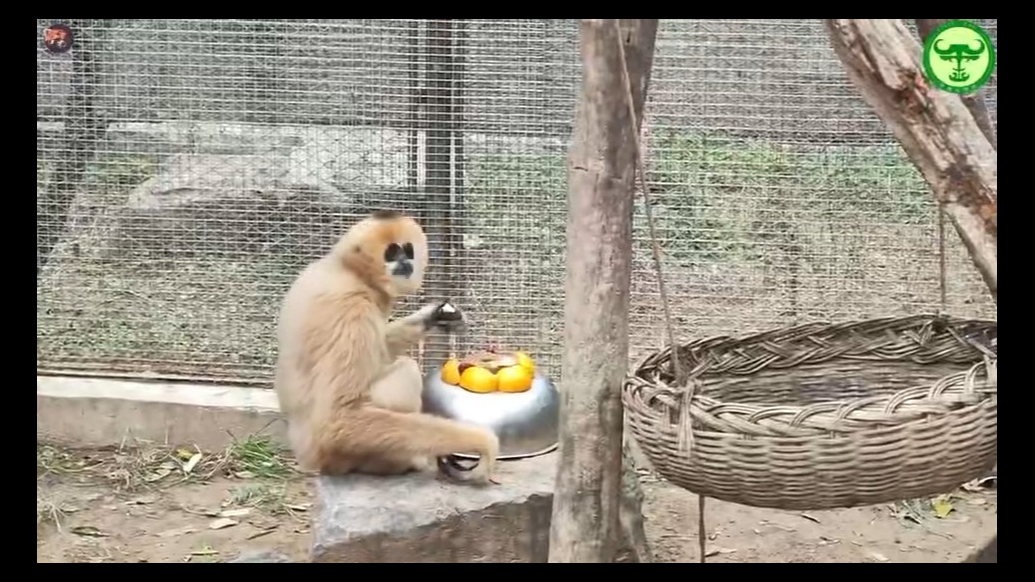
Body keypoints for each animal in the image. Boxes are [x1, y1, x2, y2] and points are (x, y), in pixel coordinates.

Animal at [273, 209, 500, 485]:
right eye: (391, 253)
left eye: (407, 250)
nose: (404, 262)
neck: (349, 271)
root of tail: (306, 459)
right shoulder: (353, 311)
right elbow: (338, 419)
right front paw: (479, 442)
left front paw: (436, 316)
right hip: (338, 457)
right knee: (407, 369)